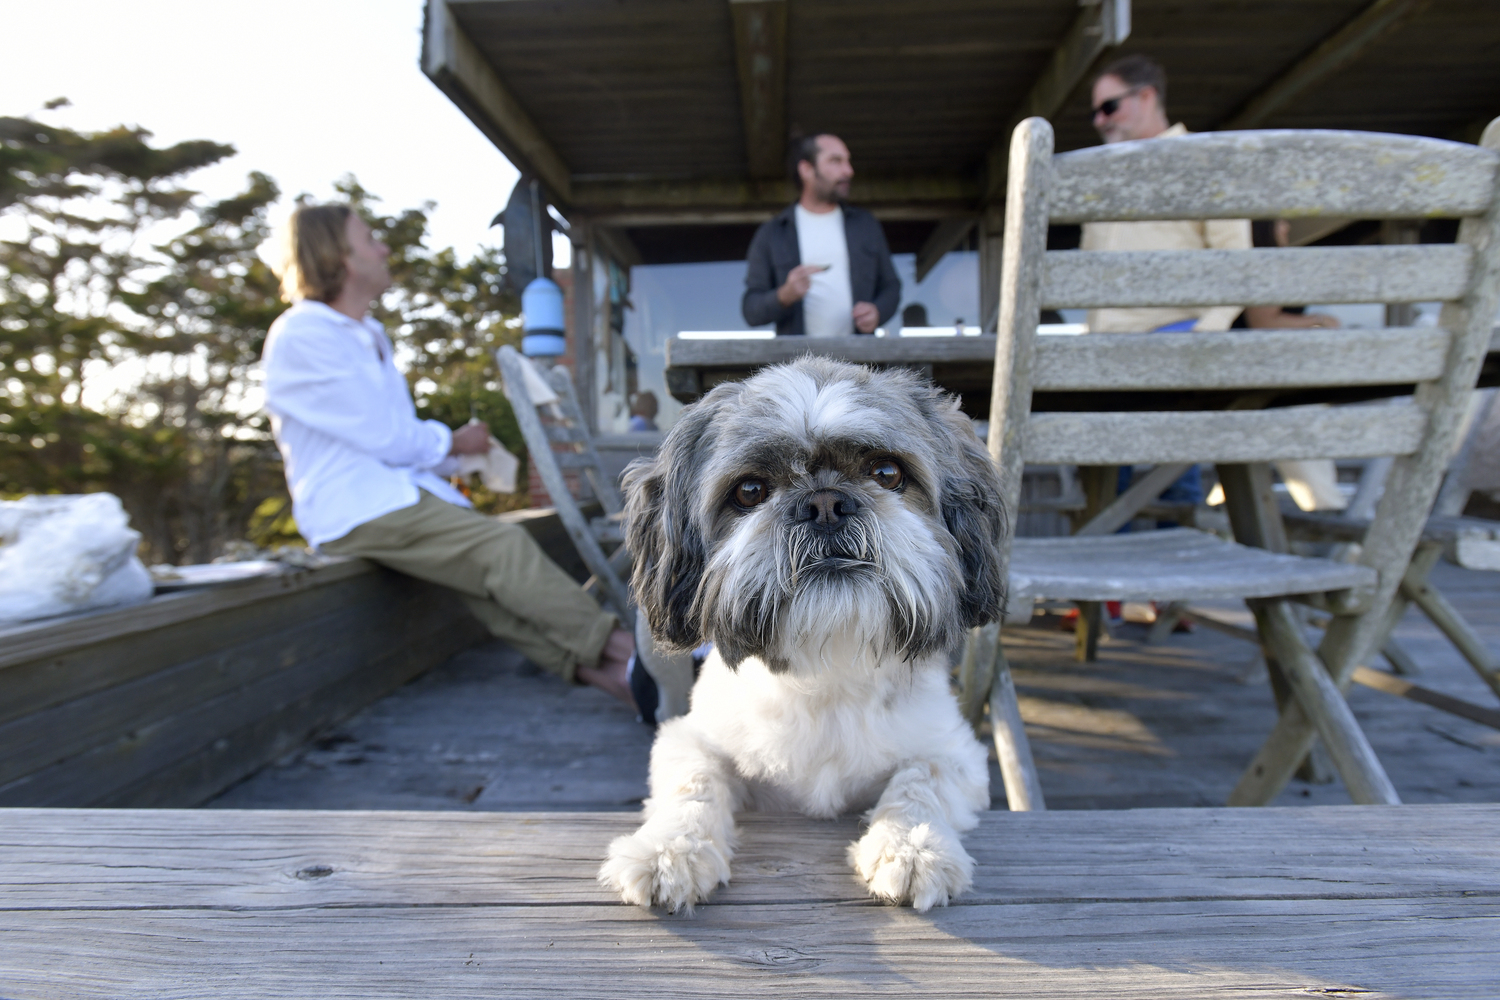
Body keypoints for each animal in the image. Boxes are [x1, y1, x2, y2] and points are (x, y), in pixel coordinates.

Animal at [597, 359, 1008, 917]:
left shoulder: (954, 750)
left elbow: (922, 778)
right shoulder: (689, 737)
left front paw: (911, 845)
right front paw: (668, 850)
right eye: (750, 492)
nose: (825, 503)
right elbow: (694, 781)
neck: (827, 672)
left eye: (887, 473)